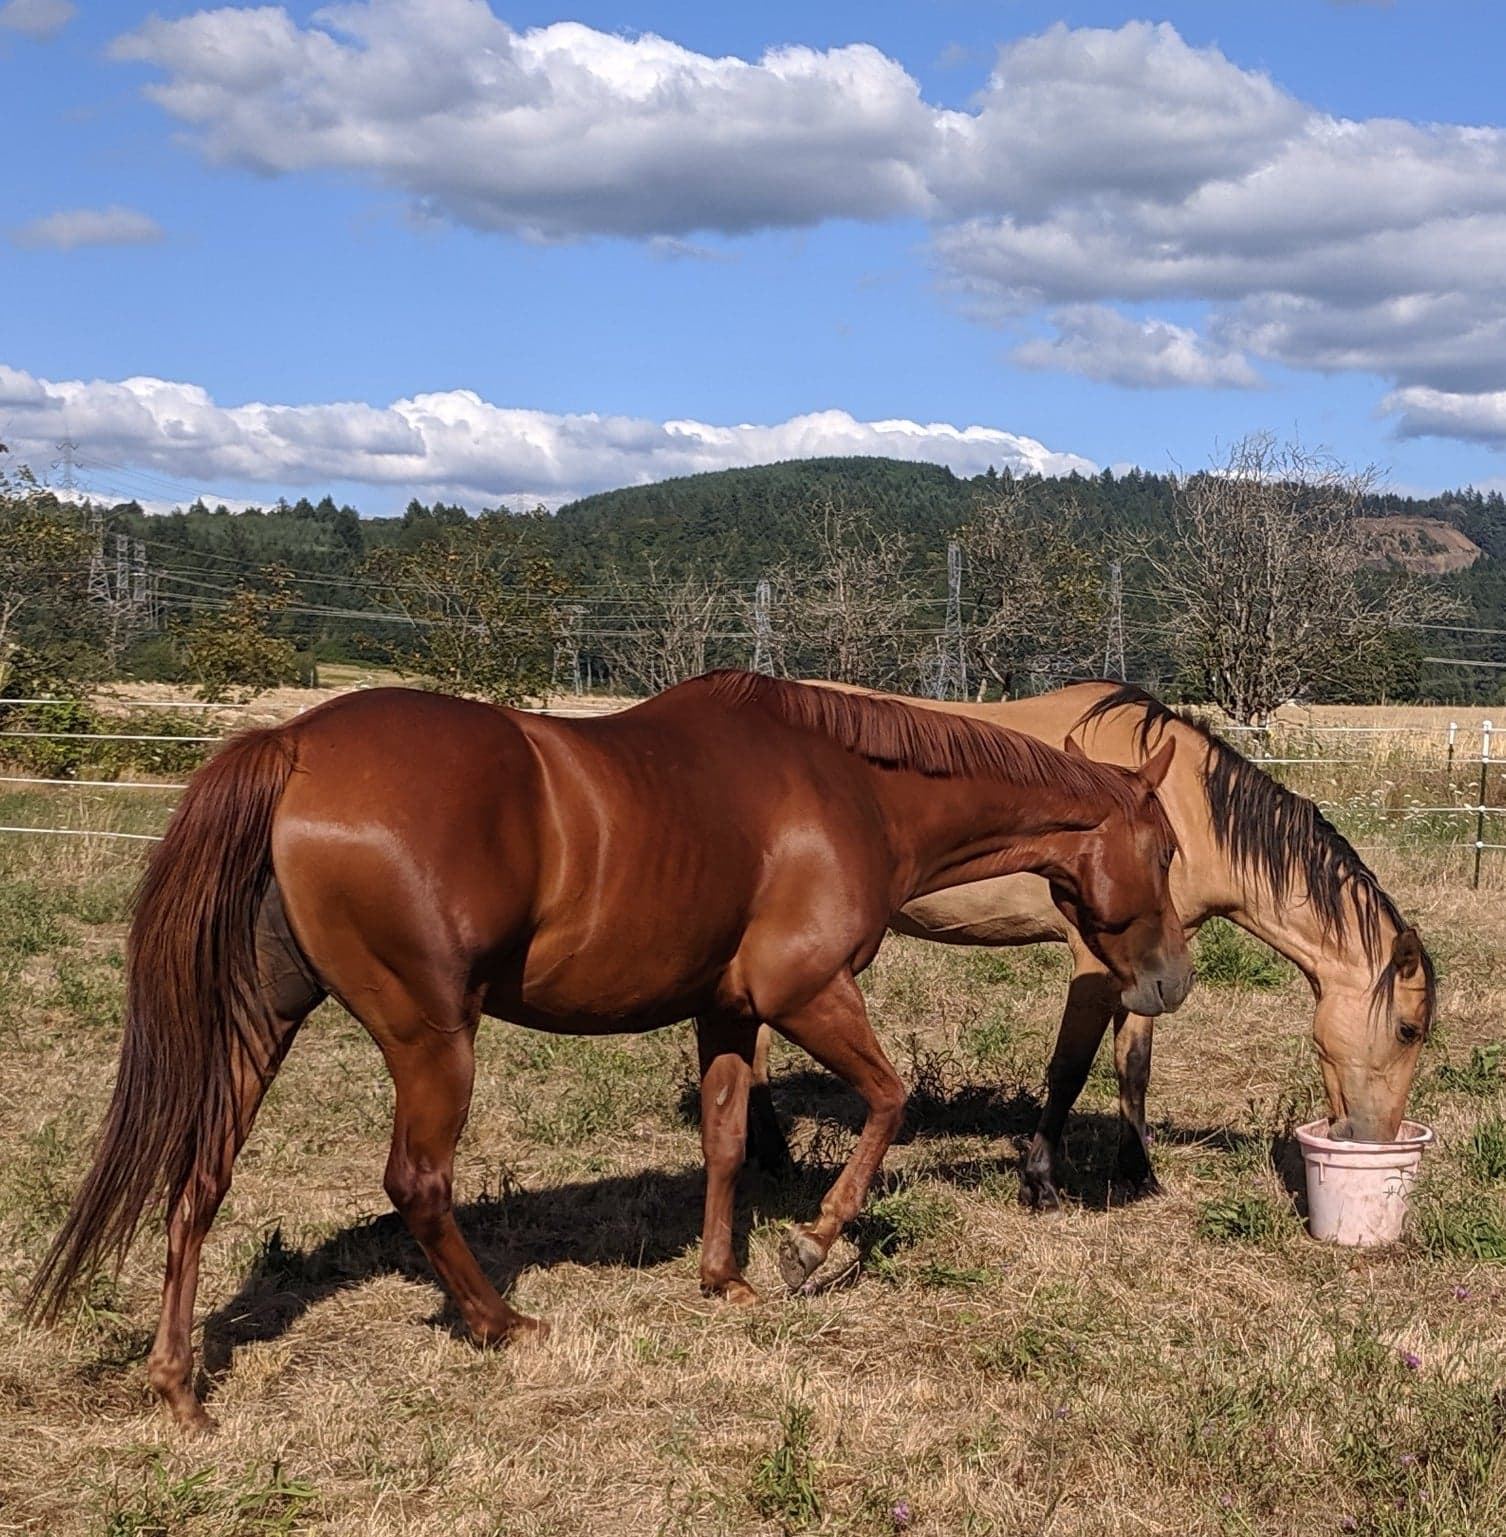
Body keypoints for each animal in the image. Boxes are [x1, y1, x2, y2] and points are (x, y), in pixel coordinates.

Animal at [29, 670, 1192, 1430]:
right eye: (1170, 847)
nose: (1172, 982)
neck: (849, 784)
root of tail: (295, 747)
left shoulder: (730, 1011)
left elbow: (725, 1141)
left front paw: (725, 1278)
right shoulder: (807, 992)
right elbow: (889, 1100)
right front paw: (812, 1246)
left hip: (259, 1025)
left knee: (200, 1180)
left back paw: (180, 1387)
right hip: (430, 1037)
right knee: (417, 1182)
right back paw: (502, 1323)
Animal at [744, 681, 1436, 1207]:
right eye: (1408, 1030)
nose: (1376, 1138)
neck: (1181, 808)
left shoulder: (1154, 967)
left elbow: (1134, 1068)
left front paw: (1138, 1173)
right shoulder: (1095, 962)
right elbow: (1071, 1068)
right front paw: (1041, 1182)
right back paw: (775, 1161)